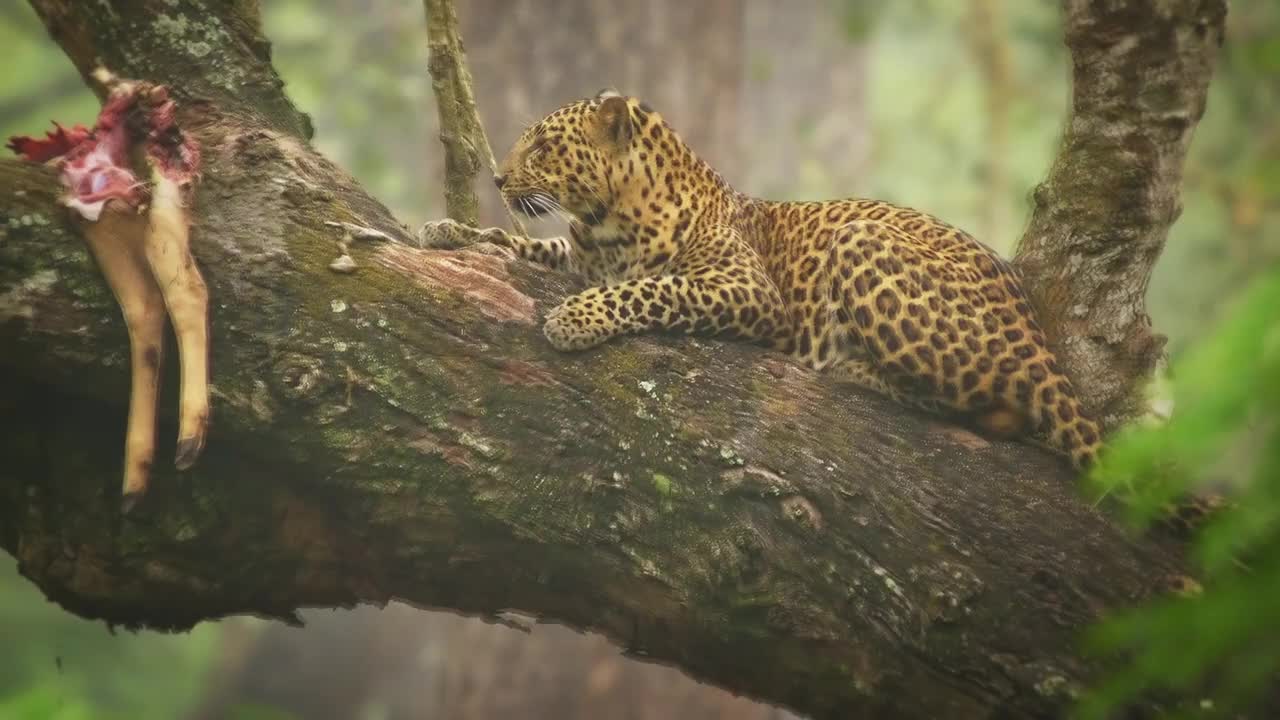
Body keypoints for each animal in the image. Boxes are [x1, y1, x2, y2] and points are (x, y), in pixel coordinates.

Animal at [419, 88, 1100, 471]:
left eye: (541, 148)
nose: (499, 179)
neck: (609, 219)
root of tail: (1037, 334)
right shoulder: (582, 255)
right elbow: (530, 244)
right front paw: (449, 230)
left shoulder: (744, 288)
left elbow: (654, 288)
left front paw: (575, 318)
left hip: (863, 242)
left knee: (992, 408)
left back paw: (849, 367)